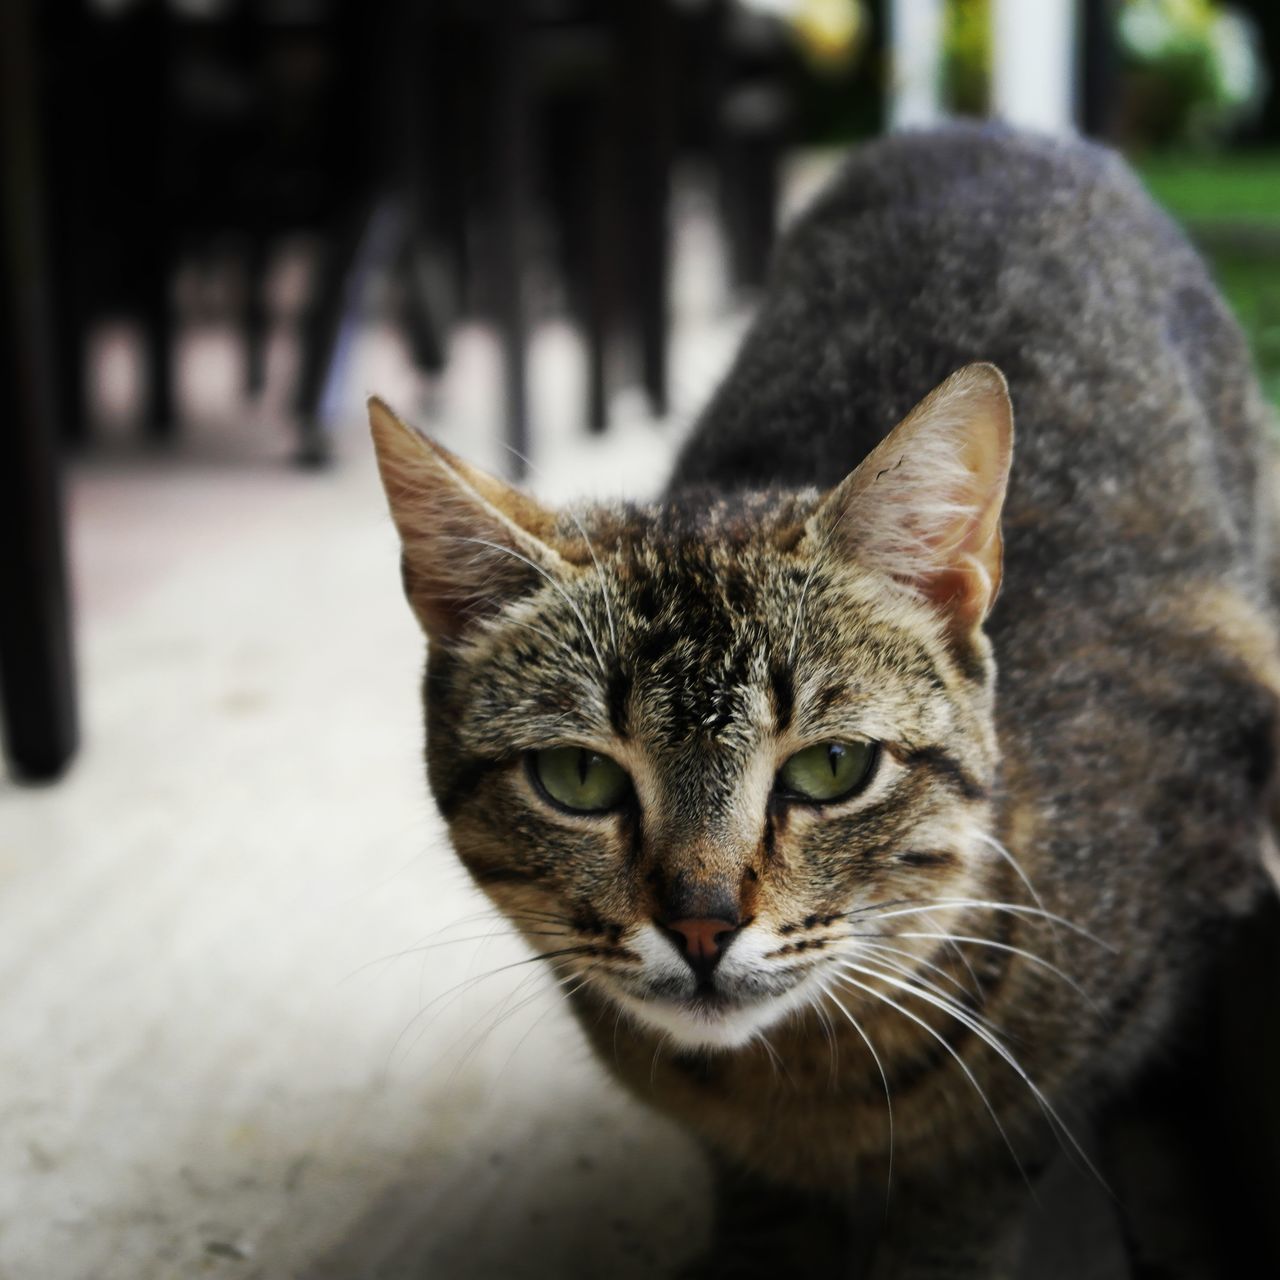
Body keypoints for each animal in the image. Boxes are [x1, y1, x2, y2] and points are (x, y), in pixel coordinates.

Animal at [366, 124, 1274, 1274]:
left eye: (830, 767)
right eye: (576, 778)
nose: (701, 924)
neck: (791, 1088)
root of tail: (989, 128)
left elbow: (968, 1181)